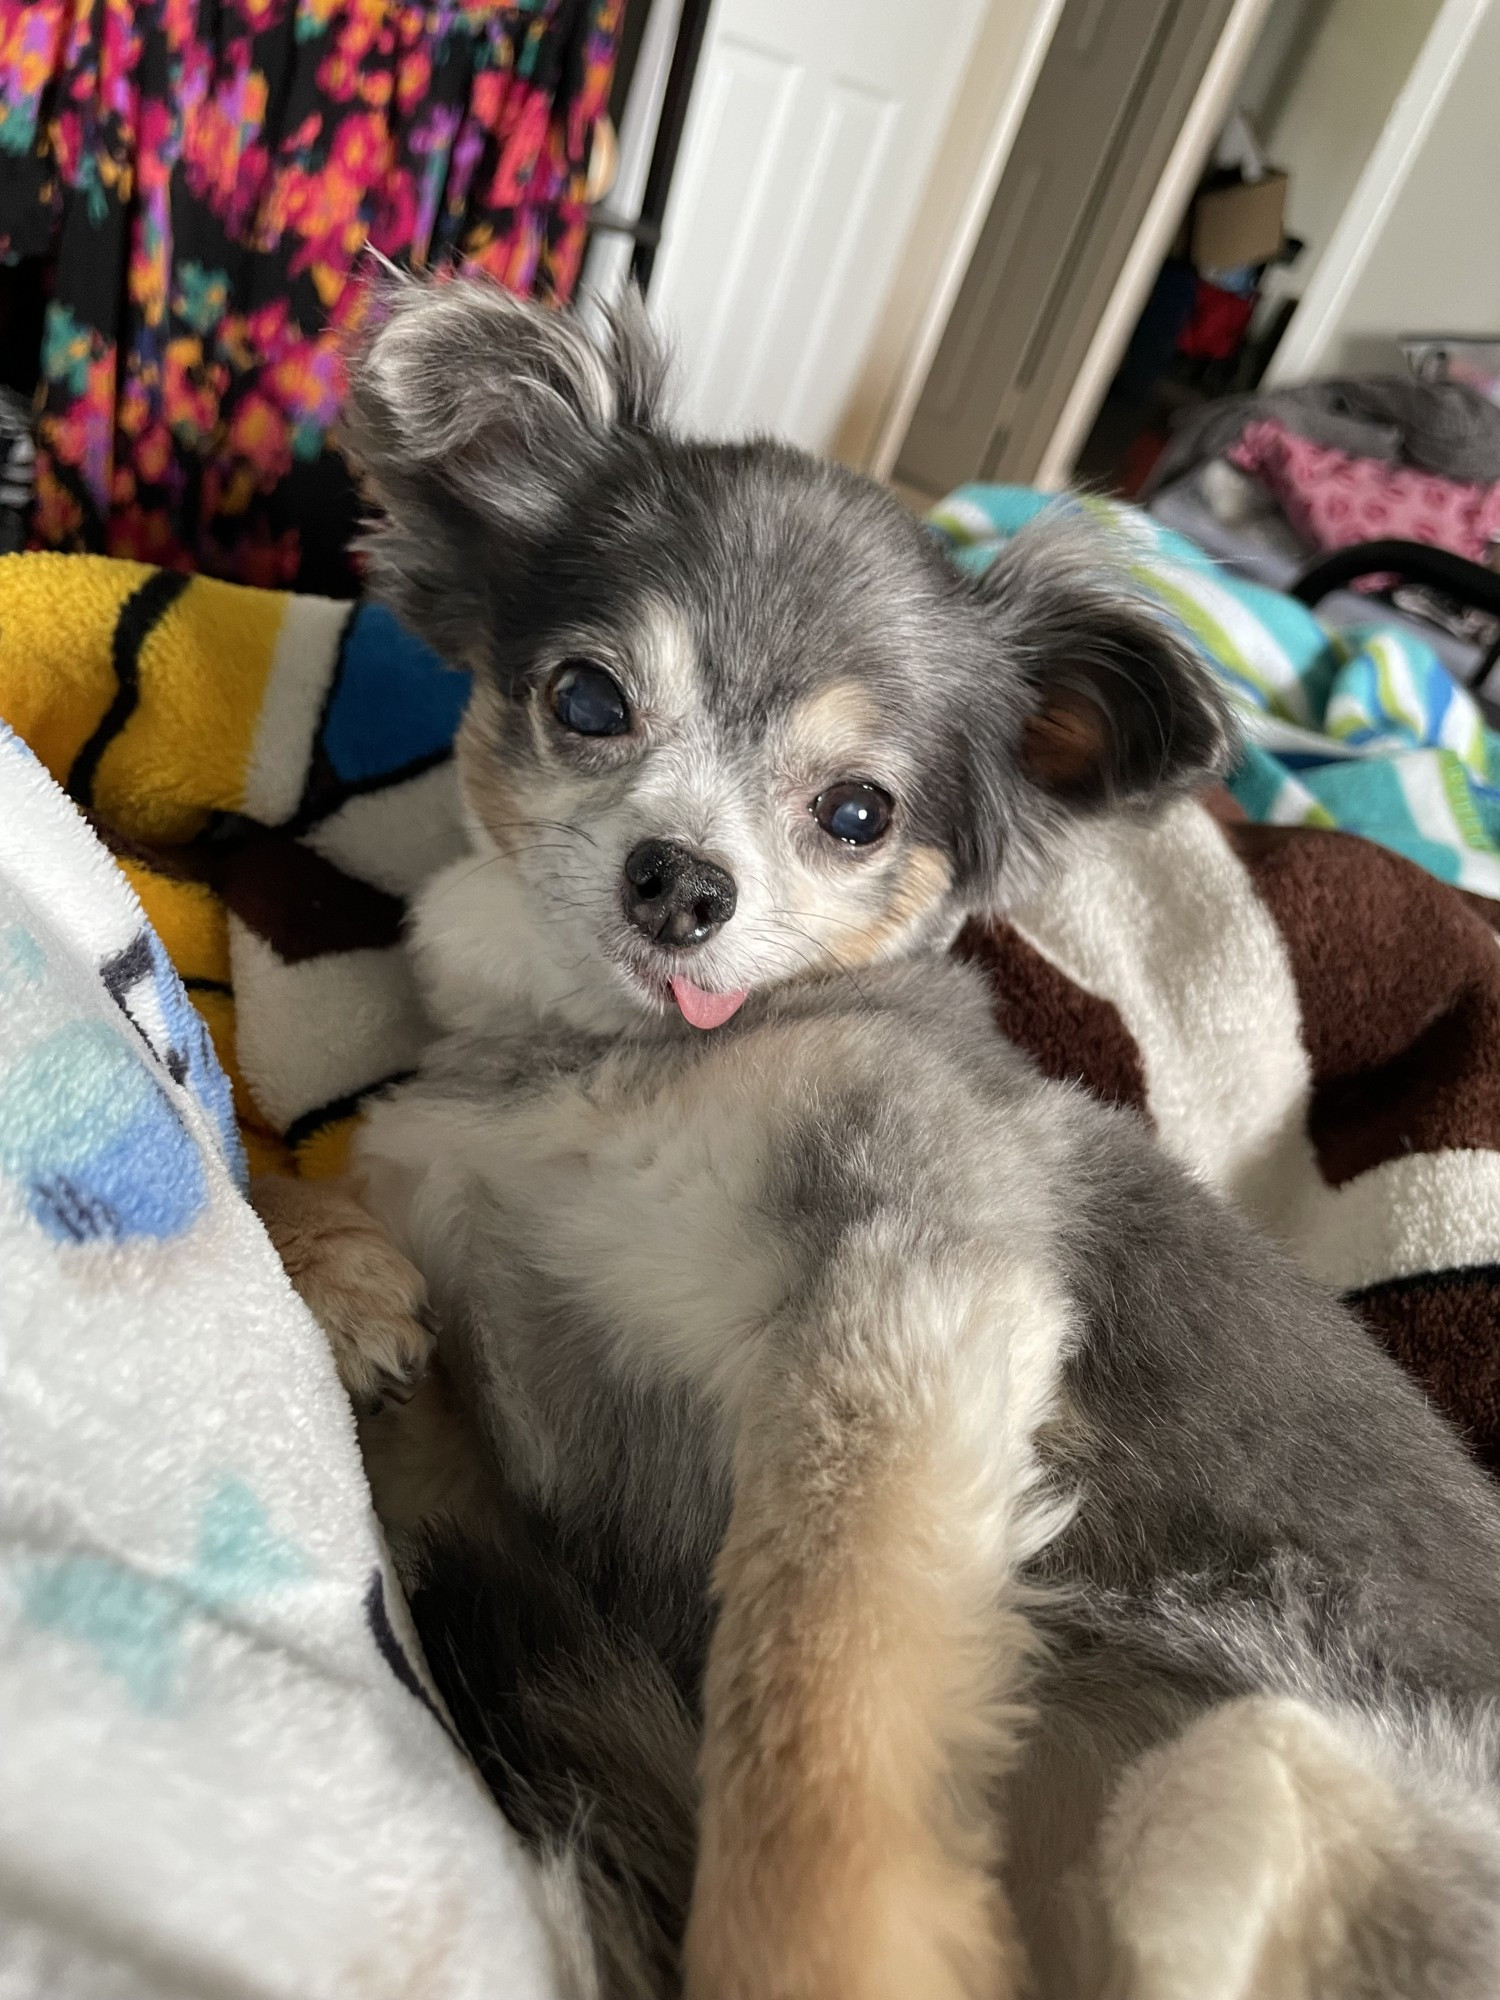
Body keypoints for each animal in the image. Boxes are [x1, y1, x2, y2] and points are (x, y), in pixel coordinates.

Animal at [258, 278, 1500, 2000]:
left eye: (857, 813)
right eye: (587, 700)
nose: (680, 884)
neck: (625, 1054)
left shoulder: (917, 1282)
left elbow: (811, 1690)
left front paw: (809, 1947)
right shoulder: (491, 1424)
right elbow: (285, 1176)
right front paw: (338, 1272)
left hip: (1243, 1775)